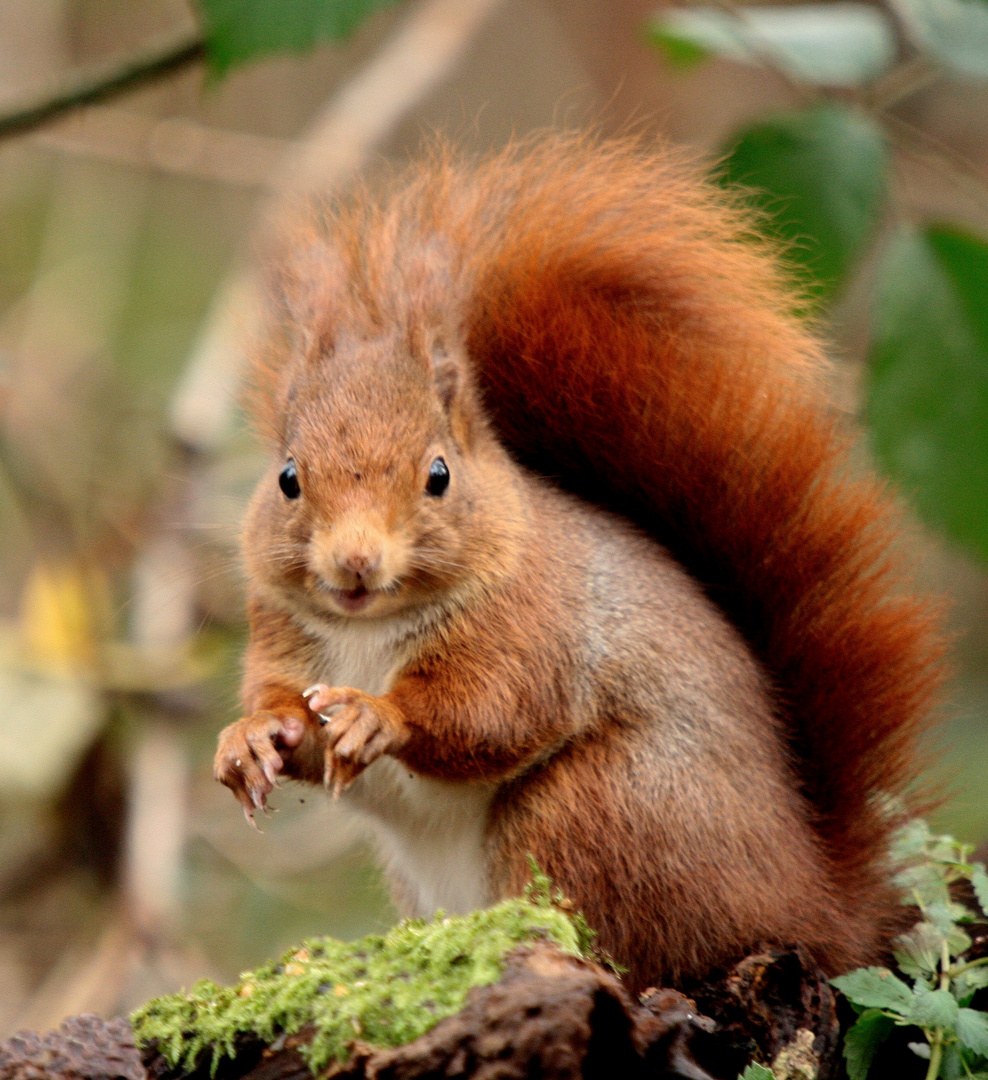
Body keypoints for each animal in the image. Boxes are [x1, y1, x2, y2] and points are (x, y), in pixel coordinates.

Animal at [215, 132, 950, 989]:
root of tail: (815, 905)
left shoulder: (536, 625)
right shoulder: (283, 634)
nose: (354, 563)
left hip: (600, 811)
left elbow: (490, 710)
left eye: (439, 475)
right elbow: (281, 707)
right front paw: (249, 738)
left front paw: (377, 715)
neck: (370, 627)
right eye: (287, 478)